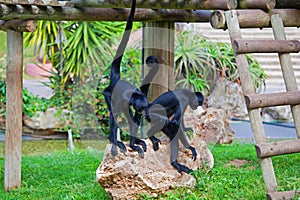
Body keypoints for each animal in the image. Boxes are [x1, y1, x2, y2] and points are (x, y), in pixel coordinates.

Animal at [103, 0, 150, 156]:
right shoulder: (124, 99)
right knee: (114, 112)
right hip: (108, 94)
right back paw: (115, 141)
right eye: (141, 108)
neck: (133, 95)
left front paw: (134, 144)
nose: (143, 112)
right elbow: (115, 116)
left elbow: (134, 119)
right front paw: (117, 143)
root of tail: (116, 81)